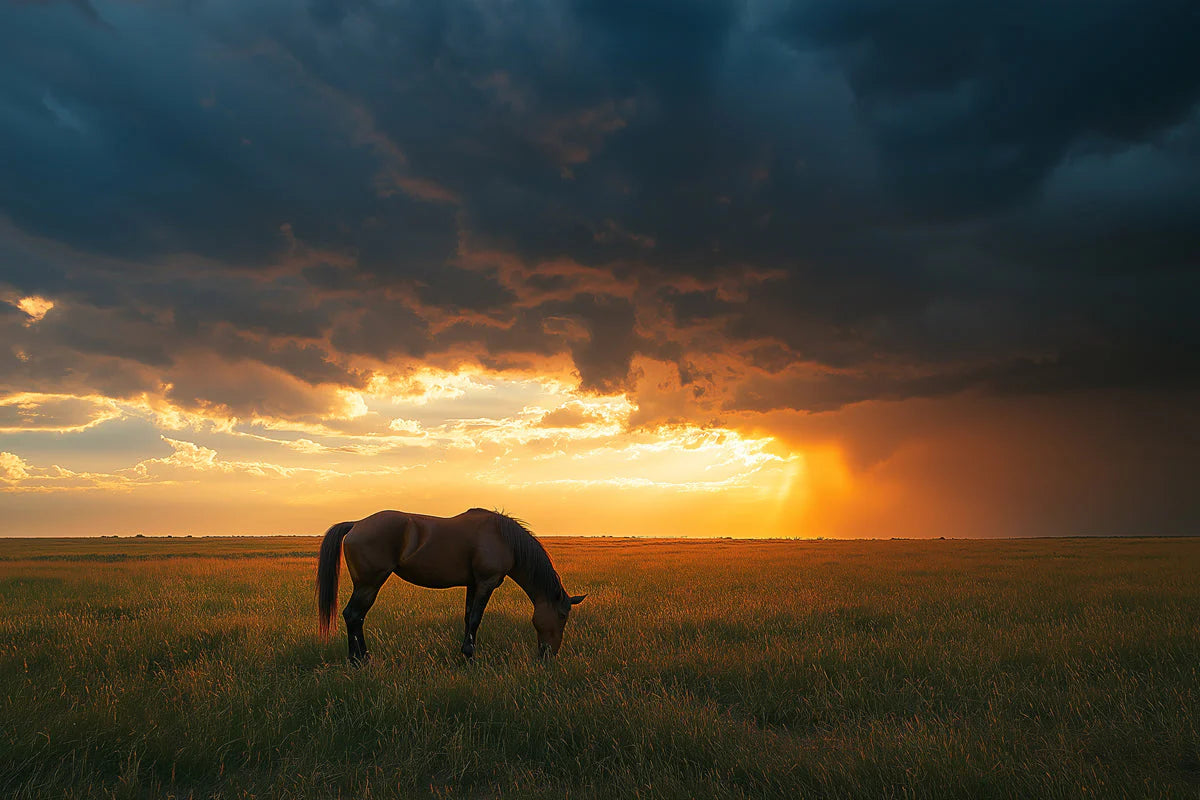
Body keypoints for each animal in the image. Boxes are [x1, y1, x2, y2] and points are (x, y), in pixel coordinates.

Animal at [316, 508, 586, 664]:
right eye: (563, 615)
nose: (549, 654)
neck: (503, 538)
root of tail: (357, 524)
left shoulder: (473, 584)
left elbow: (468, 618)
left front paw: (465, 653)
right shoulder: (486, 583)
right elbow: (476, 619)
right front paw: (470, 656)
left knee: (356, 617)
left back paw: (361, 657)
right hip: (369, 584)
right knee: (353, 615)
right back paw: (358, 660)